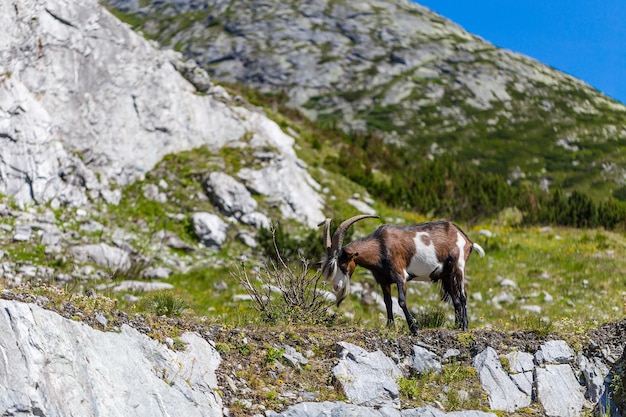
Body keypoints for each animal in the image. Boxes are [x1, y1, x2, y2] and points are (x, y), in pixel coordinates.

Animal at [316, 213, 482, 334]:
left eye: (343, 263)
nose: (336, 286)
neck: (381, 246)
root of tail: (466, 239)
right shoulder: (384, 281)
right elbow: (387, 302)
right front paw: (390, 326)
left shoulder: (400, 276)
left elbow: (401, 301)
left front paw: (414, 328)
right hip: (446, 275)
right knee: (456, 300)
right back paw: (457, 326)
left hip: (459, 266)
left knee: (463, 296)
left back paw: (465, 326)